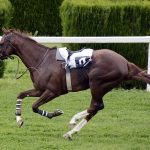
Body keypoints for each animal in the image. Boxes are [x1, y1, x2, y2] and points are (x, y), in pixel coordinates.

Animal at [0, 29, 150, 139]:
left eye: (1, 42)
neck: (41, 60)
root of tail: (125, 63)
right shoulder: (39, 89)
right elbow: (21, 95)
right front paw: (19, 120)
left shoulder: (52, 92)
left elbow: (34, 106)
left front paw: (55, 113)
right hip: (101, 87)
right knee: (95, 108)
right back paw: (71, 133)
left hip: (97, 83)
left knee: (96, 106)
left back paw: (73, 121)